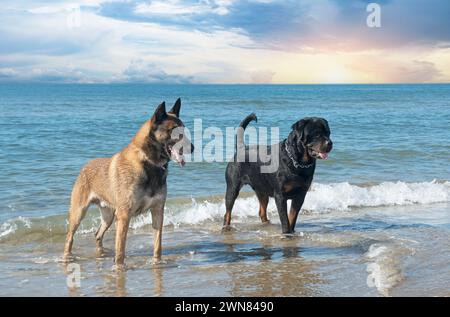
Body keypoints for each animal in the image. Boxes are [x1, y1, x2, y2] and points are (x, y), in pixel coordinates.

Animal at [62, 97, 192, 266]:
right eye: (175, 131)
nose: (193, 148)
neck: (148, 162)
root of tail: (85, 167)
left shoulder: (157, 211)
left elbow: (157, 245)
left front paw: (157, 263)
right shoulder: (124, 216)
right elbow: (120, 250)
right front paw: (119, 267)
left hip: (108, 216)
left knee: (98, 234)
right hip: (79, 213)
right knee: (69, 237)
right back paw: (67, 257)